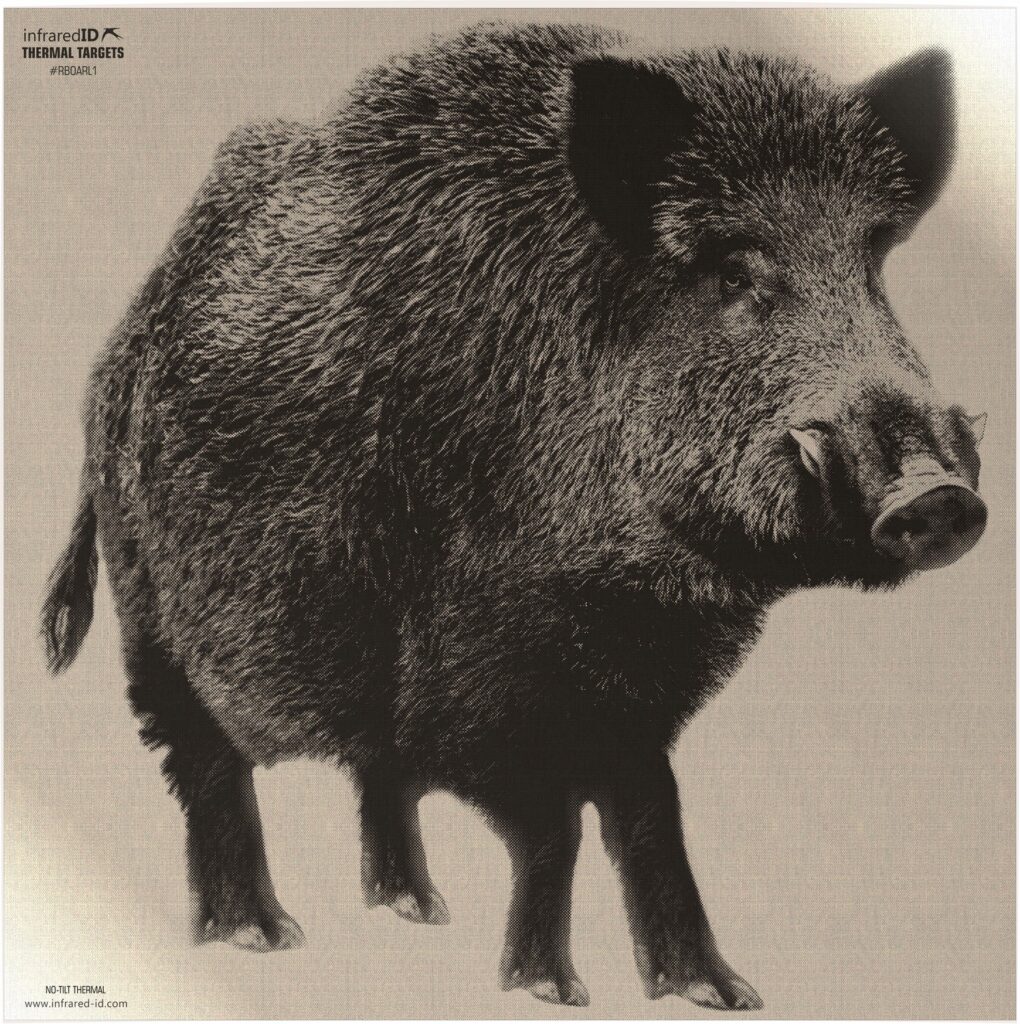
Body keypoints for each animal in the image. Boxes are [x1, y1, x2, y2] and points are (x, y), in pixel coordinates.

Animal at [41, 22, 987, 1010]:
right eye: (733, 271)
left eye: (873, 264)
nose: (936, 495)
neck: (632, 589)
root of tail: (116, 353)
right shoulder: (486, 673)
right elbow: (554, 827)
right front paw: (550, 991)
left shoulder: (636, 688)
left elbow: (650, 816)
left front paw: (719, 995)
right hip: (152, 607)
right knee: (204, 764)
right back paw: (260, 937)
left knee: (374, 774)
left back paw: (417, 910)